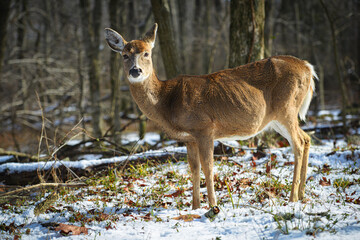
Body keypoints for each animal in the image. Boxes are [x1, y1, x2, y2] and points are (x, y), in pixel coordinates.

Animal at [103, 23, 316, 212]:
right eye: (125, 55)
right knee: (306, 138)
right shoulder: (189, 138)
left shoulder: (204, 128)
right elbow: (194, 169)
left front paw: (213, 206)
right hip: (278, 117)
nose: (135, 70)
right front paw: (195, 207)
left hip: (286, 107)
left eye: (146, 53)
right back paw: (302, 193)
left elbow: (208, 167)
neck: (167, 101)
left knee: (298, 143)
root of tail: (308, 67)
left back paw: (292, 197)